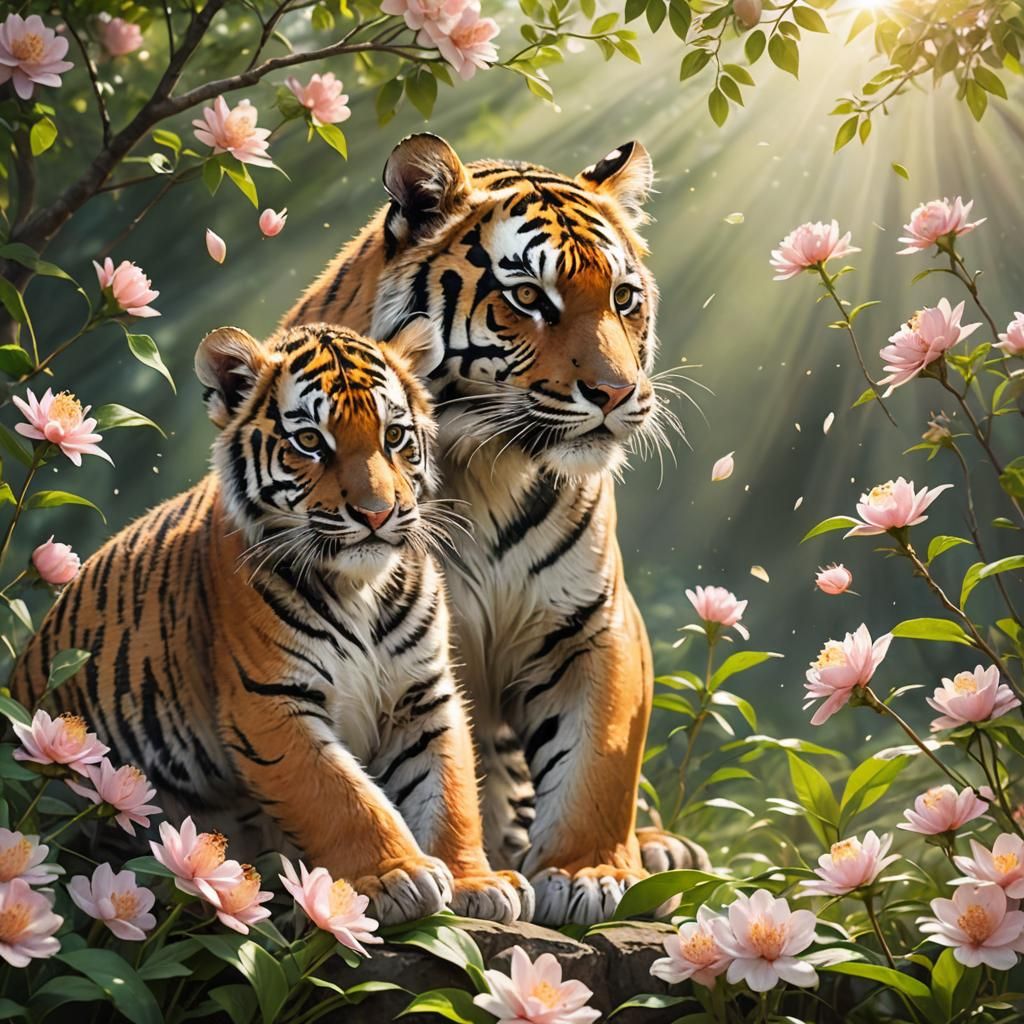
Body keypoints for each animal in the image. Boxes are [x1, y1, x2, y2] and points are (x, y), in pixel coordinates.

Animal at [11, 319, 533, 926]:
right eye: (310, 441)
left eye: (395, 436)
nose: (377, 513)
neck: (361, 589)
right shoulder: (269, 704)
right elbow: (342, 796)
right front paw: (395, 877)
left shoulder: (423, 694)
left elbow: (449, 793)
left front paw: (477, 881)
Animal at [287, 134, 709, 925]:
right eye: (529, 298)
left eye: (623, 297)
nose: (617, 394)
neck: (486, 470)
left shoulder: (591, 622)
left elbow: (599, 757)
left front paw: (585, 872)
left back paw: (665, 851)